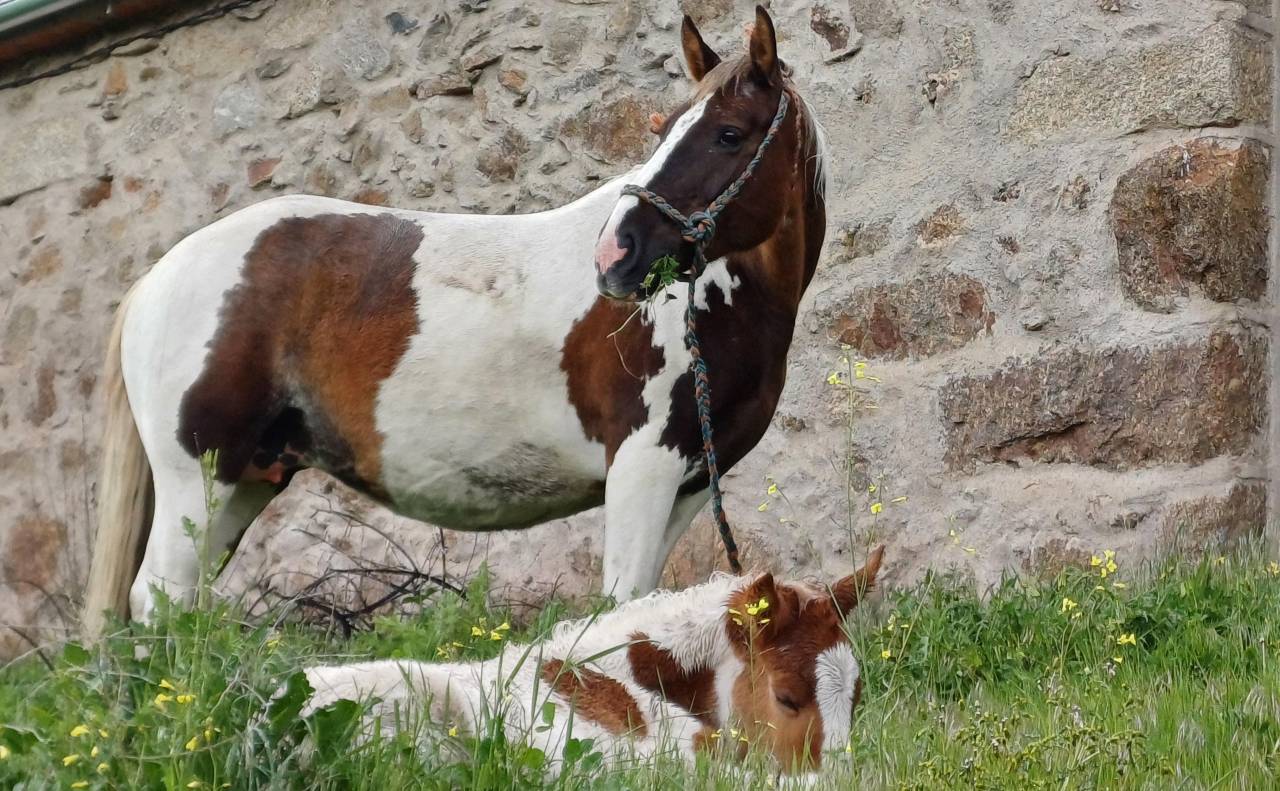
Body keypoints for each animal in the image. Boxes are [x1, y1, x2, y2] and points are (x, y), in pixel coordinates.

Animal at [82, 6, 828, 634]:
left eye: (728, 134)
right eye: (662, 128)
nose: (616, 253)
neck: (711, 298)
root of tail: (155, 278)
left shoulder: (691, 481)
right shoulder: (642, 466)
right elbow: (621, 604)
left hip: (245, 480)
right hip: (197, 475)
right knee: (159, 599)